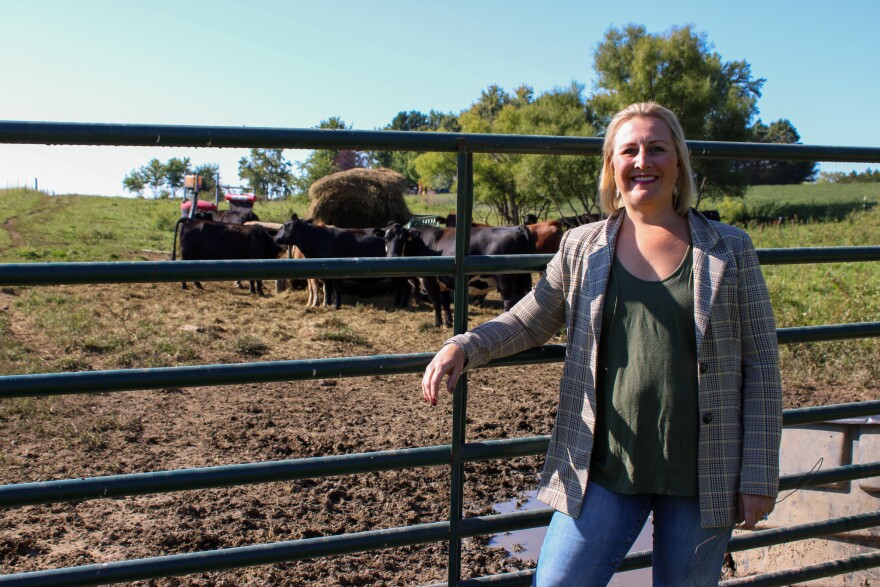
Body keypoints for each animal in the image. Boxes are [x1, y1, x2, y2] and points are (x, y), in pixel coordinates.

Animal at [274, 214, 410, 310]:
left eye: (285, 225)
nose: (275, 237)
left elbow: (335, 288)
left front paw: (334, 305)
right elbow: (327, 288)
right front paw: (327, 304)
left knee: (405, 285)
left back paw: (403, 305)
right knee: (400, 286)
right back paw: (397, 304)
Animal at [384, 224, 528, 328]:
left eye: (402, 239)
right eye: (386, 239)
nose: (392, 256)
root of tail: (517, 228)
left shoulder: (429, 281)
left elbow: (436, 302)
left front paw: (438, 323)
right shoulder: (444, 283)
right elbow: (446, 303)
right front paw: (448, 322)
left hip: (505, 281)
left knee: (508, 302)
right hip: (520, 281)